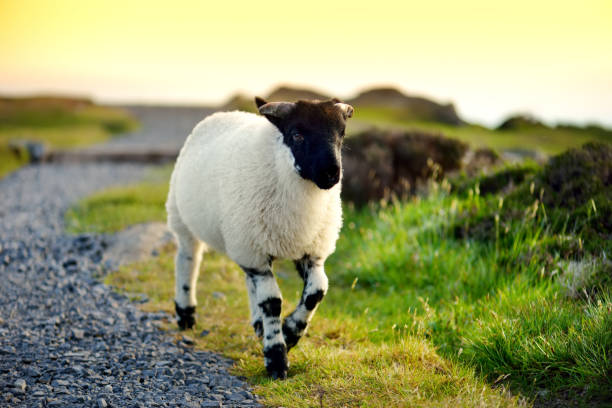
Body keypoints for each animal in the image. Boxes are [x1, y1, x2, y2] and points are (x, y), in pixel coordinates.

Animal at [165, 97, 354, 378]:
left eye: (341, 133)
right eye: (296, 135)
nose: (331, 173)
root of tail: (224, 113)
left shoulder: (310, 250)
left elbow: (316, 292)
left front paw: (291, 332)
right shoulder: (255, 252)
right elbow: (272, 302)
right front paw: (276, 358)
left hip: (245, 241)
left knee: (248, 280)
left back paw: (257, 324)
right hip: (187, 222)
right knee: (188, 261)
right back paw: (186, 313)